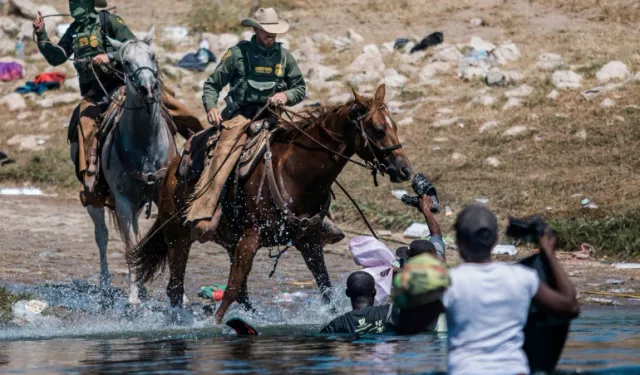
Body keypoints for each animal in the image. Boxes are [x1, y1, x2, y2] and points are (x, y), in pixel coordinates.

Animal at [134, 84, 416, 324]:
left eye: (395, 126)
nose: (405, 170)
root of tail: (170, 172)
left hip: (228, 241)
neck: (295, 173)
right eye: (378, 129)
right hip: (178, 238)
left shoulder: (308, 240)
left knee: (241, 293)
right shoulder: (251, 238)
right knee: (175, 287)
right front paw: (214, 324)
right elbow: (232, 288)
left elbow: (324, 286)